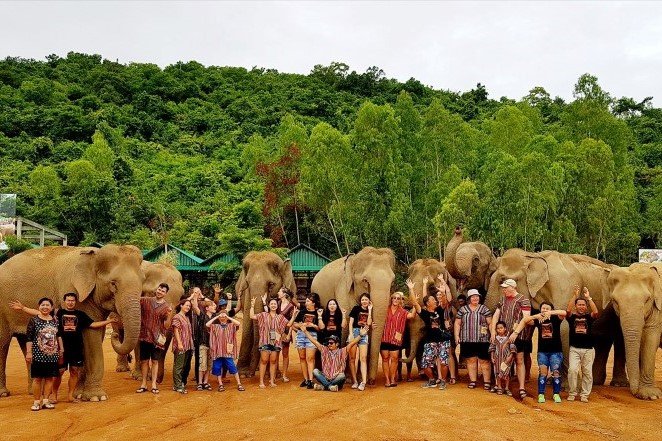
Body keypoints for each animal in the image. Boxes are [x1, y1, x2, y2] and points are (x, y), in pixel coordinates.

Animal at [0, 244, 144, 400]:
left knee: (26, 344)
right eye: (113, 283)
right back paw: (4, 393)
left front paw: (79, 394)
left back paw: (35, 392)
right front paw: (96, 397)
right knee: (2, 343)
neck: (94, 255)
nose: (116, 335)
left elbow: (94, 332)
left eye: (142, 282)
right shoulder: (74, 291)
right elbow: (91, 336)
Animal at [311, 246, 395, 384]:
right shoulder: (343, 289)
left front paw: (361, 378)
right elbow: (345, 326)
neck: (354, 260)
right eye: (365, 281)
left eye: (392, 282)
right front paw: (348, 378)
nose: (372, 381)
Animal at [484, 248, 626, 386]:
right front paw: (553, 381)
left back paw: (616, 384)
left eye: (502, 280)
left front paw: (567, 385)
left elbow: (564, 326)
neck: (532, 256)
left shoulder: (565, 285)